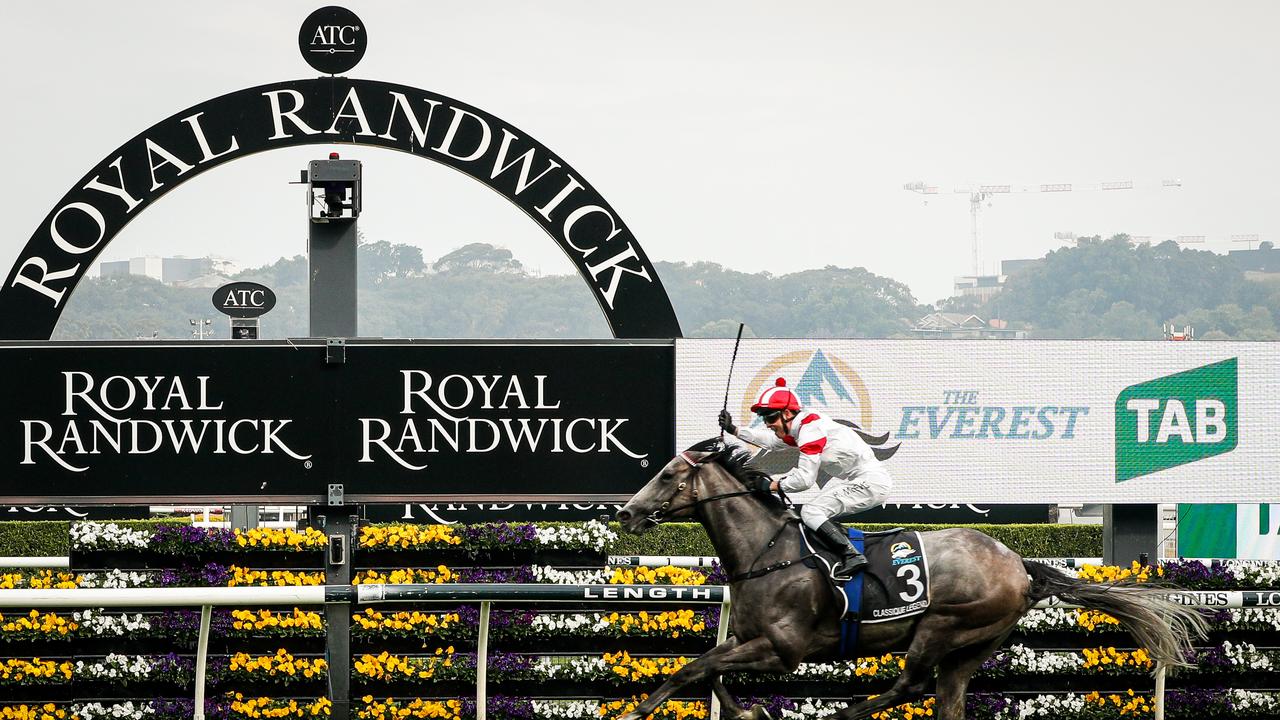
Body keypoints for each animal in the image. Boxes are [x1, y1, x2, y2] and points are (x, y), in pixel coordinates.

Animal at [614, 443, 1203, 717]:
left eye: (668, 475)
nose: (626, 513)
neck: (770, 552)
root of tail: (1017, 564)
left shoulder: (784, 649)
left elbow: (698, 666)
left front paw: (638, 708)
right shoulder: (746, 637)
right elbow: (707, 669)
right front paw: (744, 709)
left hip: (944, 626)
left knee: (910, 685)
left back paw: (844, 713)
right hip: (971, 648)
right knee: (947, 700)